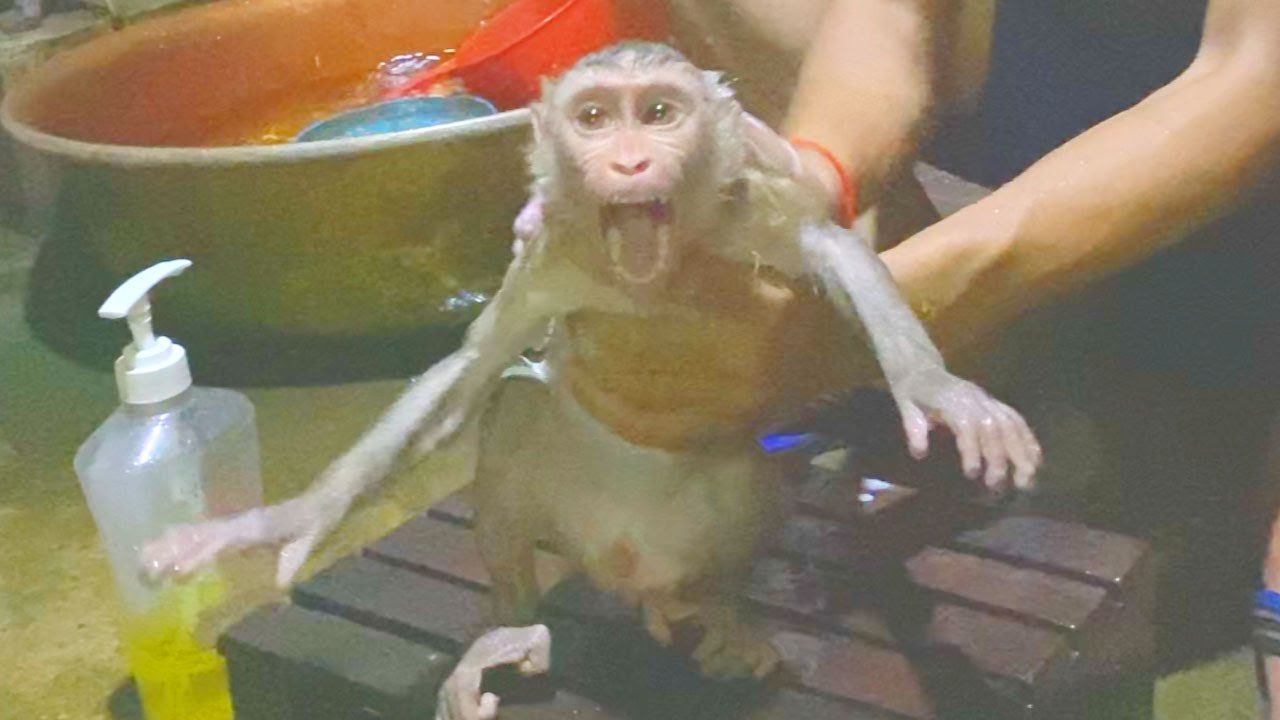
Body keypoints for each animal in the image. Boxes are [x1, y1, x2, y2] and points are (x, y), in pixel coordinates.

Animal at [139, 42, 1041, 720]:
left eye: (661, 114)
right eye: (596, 117)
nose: (631, 161)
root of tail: (627, 571)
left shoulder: (748, 208)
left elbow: (837, 253)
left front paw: (938, 390)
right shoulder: (554, 256)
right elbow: (470, 369)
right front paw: (286, 518)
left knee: (742, 466)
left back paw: (723, 608)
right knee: (514, 404)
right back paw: (507, 631)